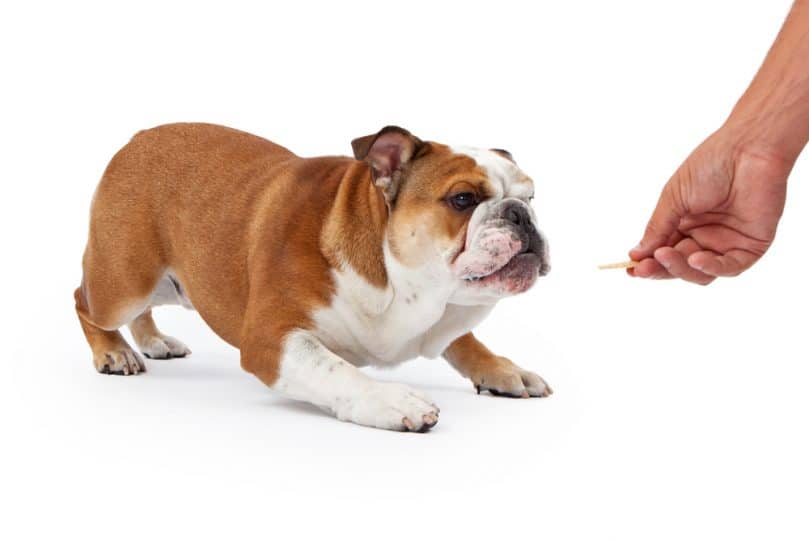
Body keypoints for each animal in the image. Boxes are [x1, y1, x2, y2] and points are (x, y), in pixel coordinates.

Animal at [76, 122, 552, 430]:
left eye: (531, 198)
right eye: (463, 199)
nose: (520, 215)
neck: (402, 283)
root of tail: (137, 138)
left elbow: (464, 340)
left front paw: (503, 369)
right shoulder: (272, 339)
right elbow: (336, 370)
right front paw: (389, 398)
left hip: (171, 286)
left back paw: (153, 340)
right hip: (125, 282)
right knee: (84, 299)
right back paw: (114, 351)